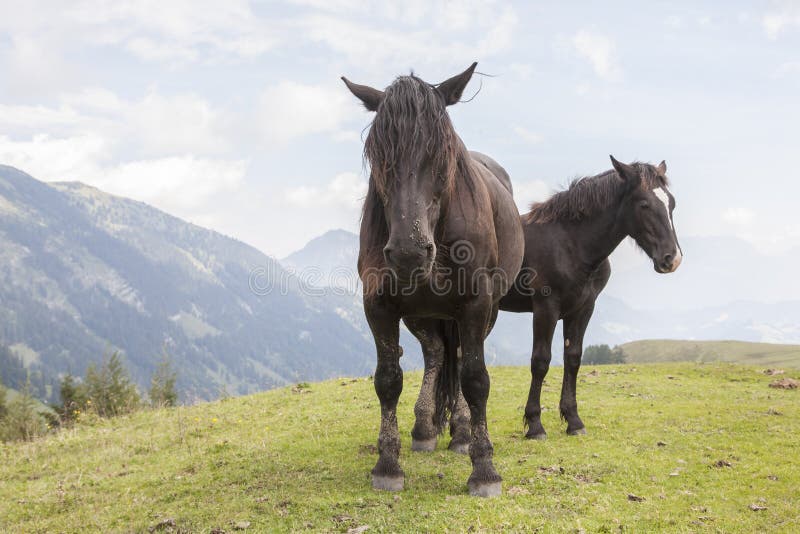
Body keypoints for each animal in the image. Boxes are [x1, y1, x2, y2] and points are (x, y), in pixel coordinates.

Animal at [342, 62, 525, 497]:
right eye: (377, 155)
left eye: (443, 153)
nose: (409, 253)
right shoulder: (379, 306)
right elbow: (388, 380)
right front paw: (388, 464)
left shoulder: (476, 305)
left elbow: (475, 379)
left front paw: (484, 468)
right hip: (422, 314)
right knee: (438, 353)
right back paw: (426, 427)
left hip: (483, 313)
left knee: (457, 358)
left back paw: (461, 432)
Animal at [498, 156, 683, 439]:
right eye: (644, 204)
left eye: (671, 203)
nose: (672, 259)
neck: (571, 243)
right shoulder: (546, 308)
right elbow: (540, 361)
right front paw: (535, 424)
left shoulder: (583, 308)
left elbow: (573, 358)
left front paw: (574, 421)